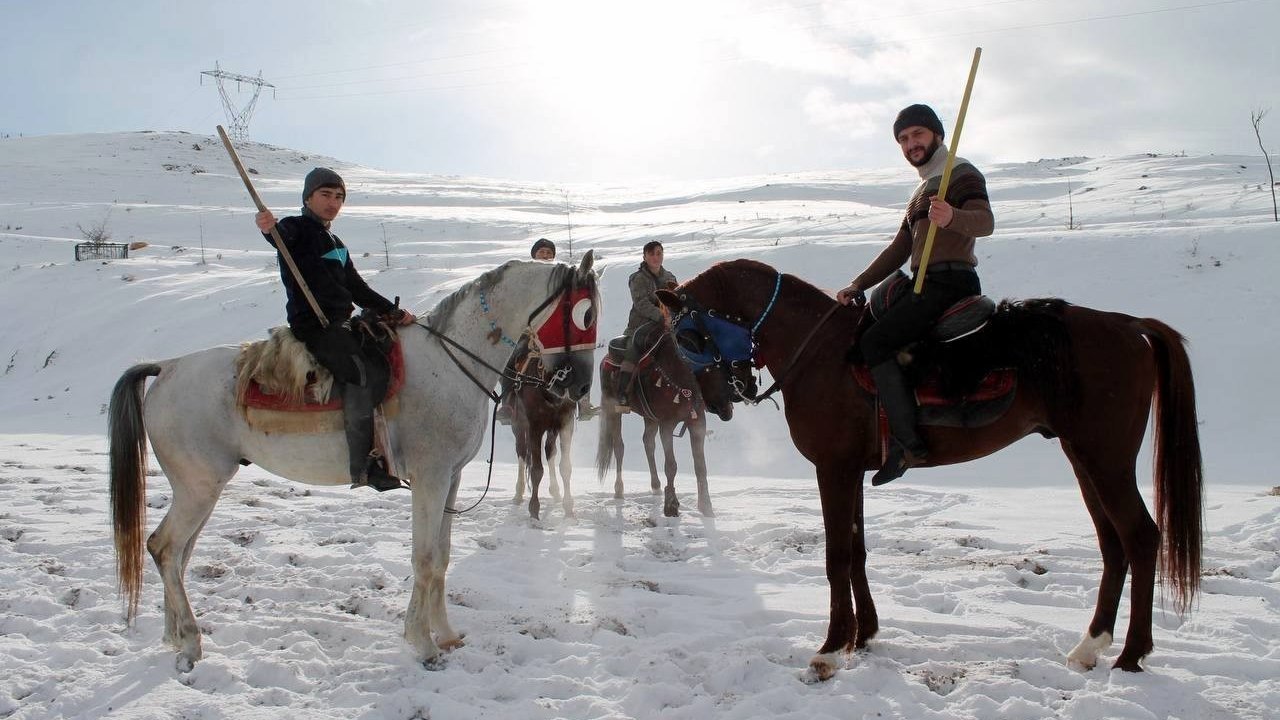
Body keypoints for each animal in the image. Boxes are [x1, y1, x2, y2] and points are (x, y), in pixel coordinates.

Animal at [107, 252, 596, 666]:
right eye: (585, 315)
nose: (579, 386)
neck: (451, 361)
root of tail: (167, 367)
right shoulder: (431, 479)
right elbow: (423, 559)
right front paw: (421, 643)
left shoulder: (451, 480)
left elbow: (441, 558)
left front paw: (445, 634)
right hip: (199, 487)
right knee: (165, 548)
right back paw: (190, 642)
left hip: (199, 489)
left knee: (177, 555)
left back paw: (174, 637)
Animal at [593, 325, 716, 515]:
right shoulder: (667, 425)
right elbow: (671, 465)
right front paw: (671, 505)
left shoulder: (697, 423)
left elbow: (700, 466)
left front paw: (705, 506)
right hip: (613, 410)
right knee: (619, 447)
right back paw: (619, 489)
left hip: (649, 417)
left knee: (648, 442)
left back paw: (656, 485)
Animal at [655, 257, 1203, 676]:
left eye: (689, 337)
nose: (715, 403)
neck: (820, 352)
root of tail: (1129, 324)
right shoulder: (852, 470)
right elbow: (857, 552)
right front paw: (864, 634)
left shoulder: (833, 469)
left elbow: (836, 556)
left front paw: (831, 649)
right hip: (1084, 458)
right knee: (1114, 545)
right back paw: (1091, 646)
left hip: (1105, 458)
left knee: (1141, 538)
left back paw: (1131, 655)